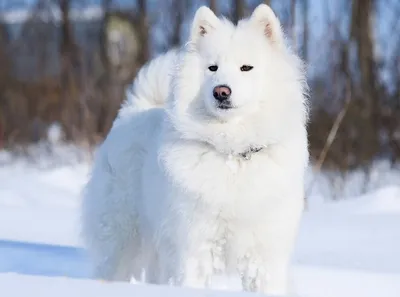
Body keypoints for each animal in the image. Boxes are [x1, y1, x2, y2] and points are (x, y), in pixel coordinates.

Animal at [82, 4, 310, 294]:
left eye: (246, 67)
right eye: (212, 68)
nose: (221, 91)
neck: (232, 153)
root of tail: (133, 111)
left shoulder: (265, 254)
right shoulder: (196, 246)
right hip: (123, 236)